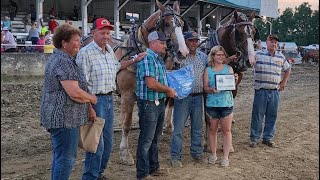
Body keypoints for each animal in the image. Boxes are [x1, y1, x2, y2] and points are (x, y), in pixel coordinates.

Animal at [114, 0, 189, 165]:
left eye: (181, 23)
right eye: (166, 23)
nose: (183, 52)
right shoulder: (127, 95)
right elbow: (126, 123)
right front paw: (125, 153)